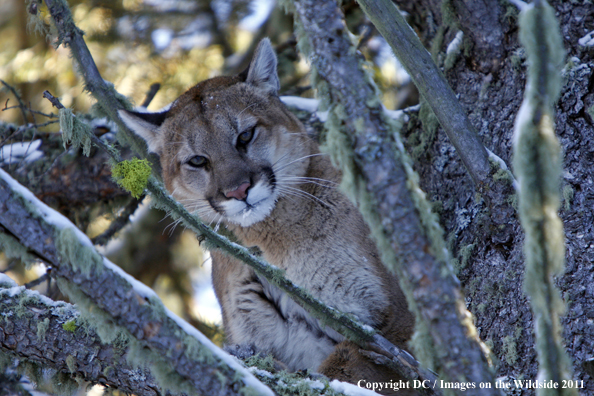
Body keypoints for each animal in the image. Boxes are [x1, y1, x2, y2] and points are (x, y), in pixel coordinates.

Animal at [119, 38, 414, 392]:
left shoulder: (395, 326)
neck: (272, 242)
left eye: (245, 136)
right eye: (197, 161)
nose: (238, 191)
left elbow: (346, 367)